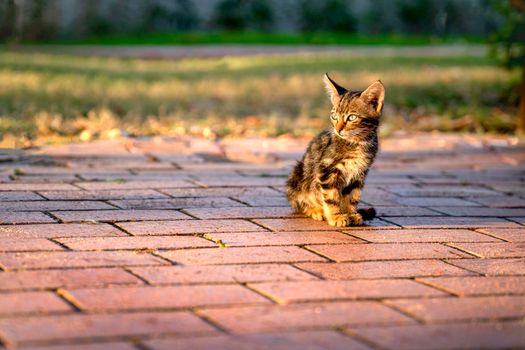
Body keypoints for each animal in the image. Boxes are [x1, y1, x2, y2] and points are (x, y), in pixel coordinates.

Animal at [286, 74, 384, 227]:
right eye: (334, 116)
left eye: (352, 117)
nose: (338, 129)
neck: (357, 143)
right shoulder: (326, 169)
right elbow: (331, 196)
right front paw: (336, 216)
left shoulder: (360, 172)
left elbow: (352, 196)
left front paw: (351, 213)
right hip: (297, 176)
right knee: (299, 203)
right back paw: (316, 210)